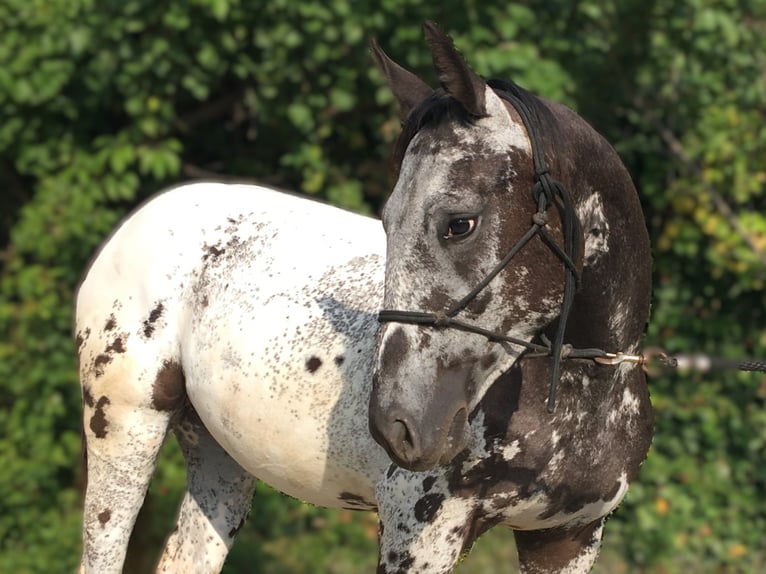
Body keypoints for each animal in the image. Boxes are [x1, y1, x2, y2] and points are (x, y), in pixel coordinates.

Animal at [75, 21, 656, 574]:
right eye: (386, 220)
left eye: (459, 223)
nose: (396, 425)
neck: (579, 394)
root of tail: (142, 219)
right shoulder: (418, 536)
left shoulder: (565, 539)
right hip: (124, 430)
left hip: (221, 457)